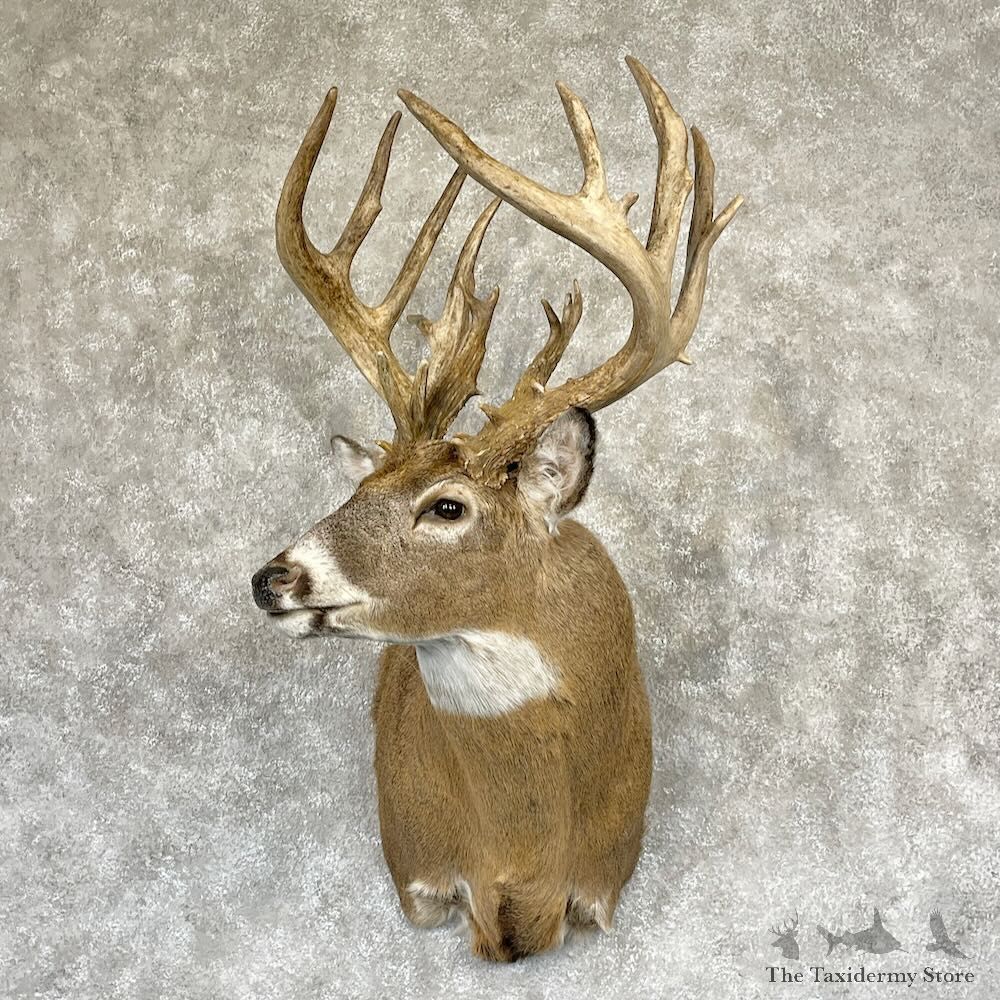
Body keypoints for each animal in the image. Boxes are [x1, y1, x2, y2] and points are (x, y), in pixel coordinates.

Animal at [251, 55, 742, 962]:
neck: (519, 853)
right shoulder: (416, 872)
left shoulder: (604, 886)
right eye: (358, 490)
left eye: (446, 508)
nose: (273, 578)